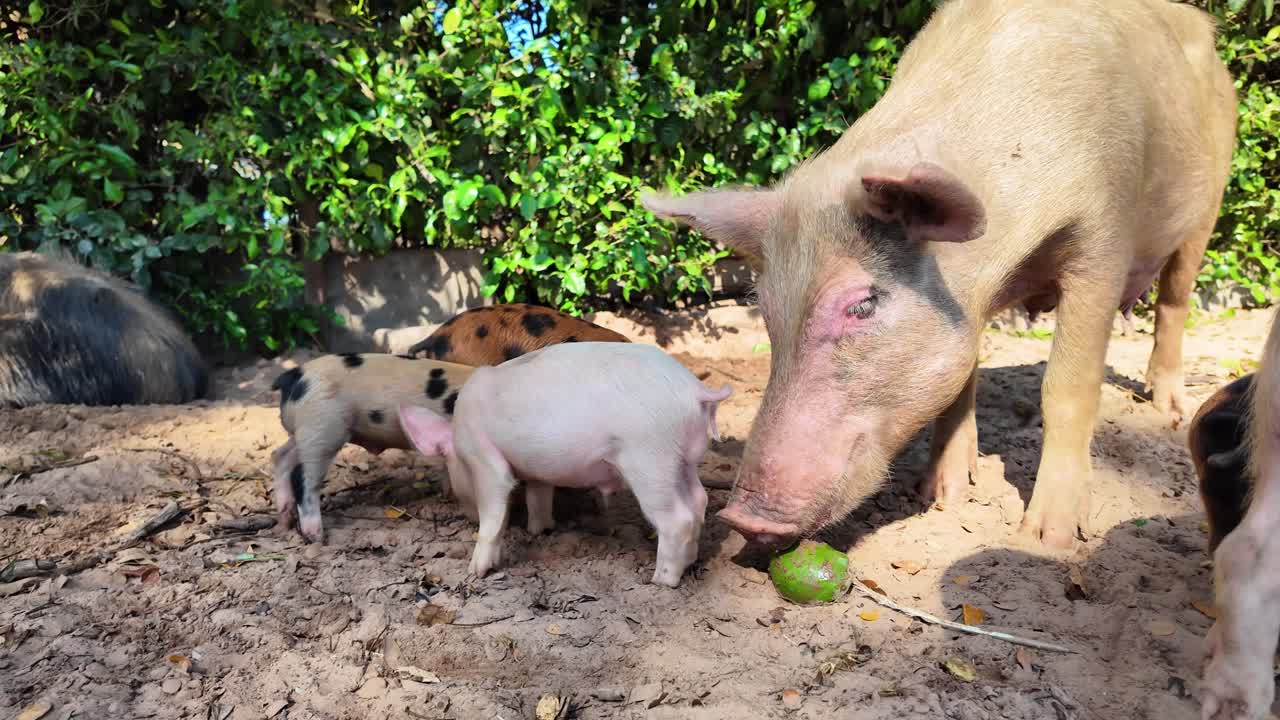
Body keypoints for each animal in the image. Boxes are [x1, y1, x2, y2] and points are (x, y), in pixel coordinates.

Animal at [269, 352, 475, 542]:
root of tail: (295, 375)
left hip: (304, 433)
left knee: (280, 456)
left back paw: (285, 521)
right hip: (322, 428)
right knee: (302, 476)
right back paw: (316, 536)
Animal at [397, 342, 732, 587]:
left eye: (450, 470)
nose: (465, 515)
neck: (458, 434)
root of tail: (696, 390)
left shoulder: (483, 457)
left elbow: (494, 509)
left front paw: (476, 571)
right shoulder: (537, 470)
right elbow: (538, 497)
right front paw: (540, 530)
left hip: (651, 458)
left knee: (678, 518)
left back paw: (661, 580)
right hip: (683, 461)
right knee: (699, 501)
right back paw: (689, 561)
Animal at [642, 0, 1237, 549]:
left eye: (862, 304)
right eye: (766, 311)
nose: (742, 518)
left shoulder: (1104, 240)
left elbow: (1067, 386)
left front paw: (1046, 538)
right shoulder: (965, 304)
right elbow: (957, 384)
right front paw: (942, 496)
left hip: (1208, 203)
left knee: (1176, 298)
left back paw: (1169, 409)